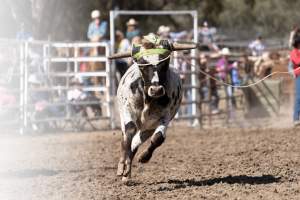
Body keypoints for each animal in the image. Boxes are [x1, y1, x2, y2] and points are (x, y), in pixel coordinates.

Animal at [108, 33, 197, 182]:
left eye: (164, 63)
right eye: (143, 65)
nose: (156, 90)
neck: (148, 99)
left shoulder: (164, 117)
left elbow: (158, 138)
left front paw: (144, 157)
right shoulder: (127, 111)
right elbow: (128, 133)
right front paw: (122, 165)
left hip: (147, 128)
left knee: (136, 143)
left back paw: (128, 172)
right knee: (129, 138)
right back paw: (126, 170)